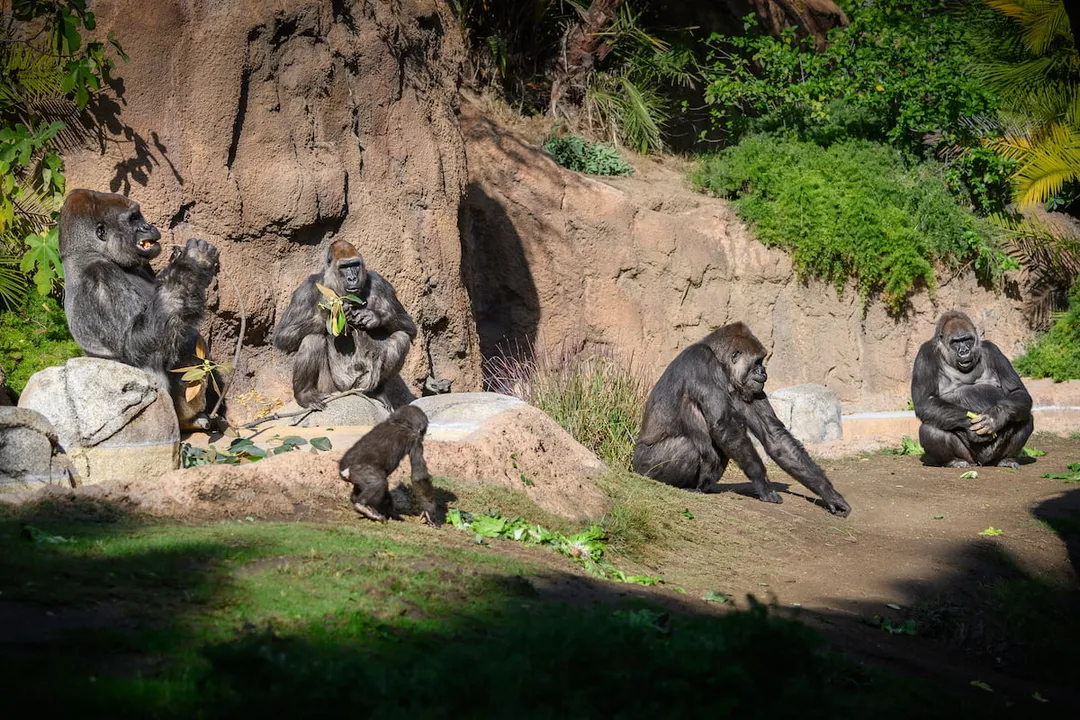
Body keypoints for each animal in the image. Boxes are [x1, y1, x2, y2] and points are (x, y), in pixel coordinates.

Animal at [58, 189, 220, 430]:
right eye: (133, 218)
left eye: (139, 216)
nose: (147, 226)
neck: (88, 252)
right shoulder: (100, 280)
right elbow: (135, 343)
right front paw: (194, 262)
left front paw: (187, 268)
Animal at [274, 240, 417, 411]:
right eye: (343, 267)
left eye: (354, 264)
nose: (352, 278)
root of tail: (350, 390)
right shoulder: (307, 288)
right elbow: (283, 334)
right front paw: (327, 316)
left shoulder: (380, 282)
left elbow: (410, 325)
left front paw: (375, 316)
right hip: (331, 388)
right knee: (312, 339)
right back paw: (305, 395)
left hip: (365, 382)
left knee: (401, 337)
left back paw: (377, 391)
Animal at [633, 322, 851, 517]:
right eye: (757, 362)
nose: (764, 372)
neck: (721, 364)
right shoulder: (701, 362)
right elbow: (724, 425)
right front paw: (762, 481)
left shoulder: (751, 387)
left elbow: (774, 436)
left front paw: (828, 493)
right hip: (644, 467)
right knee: (688, 444)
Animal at [912, 310, 1033, 469]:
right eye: (956, 342)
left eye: (967, 339)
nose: (964, 351)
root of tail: (982, 462)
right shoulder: (925, 354)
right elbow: (925, 401)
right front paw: (970, 427)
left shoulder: (992, 349)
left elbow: (1017, 391)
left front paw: (996, 417)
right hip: (969, 456)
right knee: (930, 428)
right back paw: (954, 461)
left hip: (993, 456)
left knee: (1024, 418)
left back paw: (1006, 459)